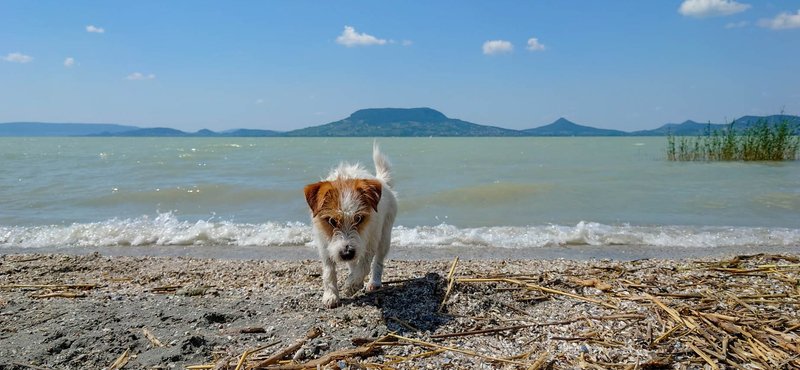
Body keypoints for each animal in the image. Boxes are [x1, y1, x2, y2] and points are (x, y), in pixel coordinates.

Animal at [304, 143, 396, 308]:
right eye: (332, 221)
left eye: (359, 219)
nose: (347, 253)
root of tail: (382, 182)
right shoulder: (324, 244)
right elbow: (328, 271)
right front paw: (331, 295)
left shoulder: (370, 241)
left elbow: (365, 265)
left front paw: (352, 285)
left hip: (385, 237)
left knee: (378, 261)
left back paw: (373, 282)